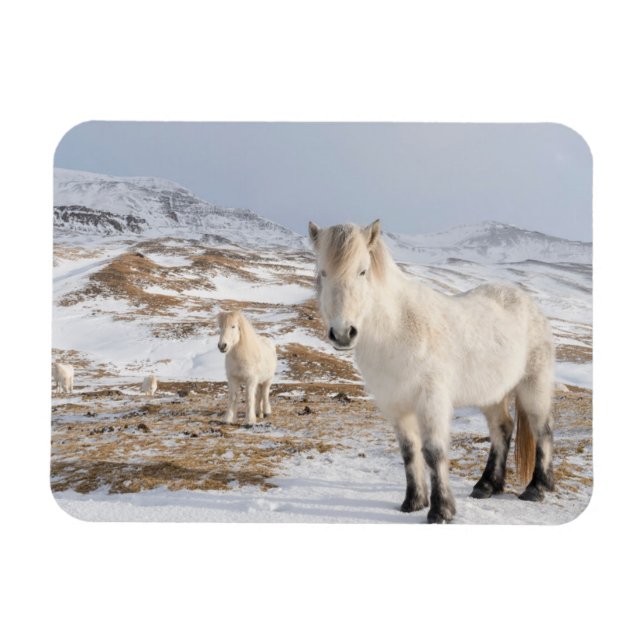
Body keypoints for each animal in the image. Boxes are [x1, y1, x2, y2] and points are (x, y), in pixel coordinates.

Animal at [308, 219, 555, 523]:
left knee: (542, 429)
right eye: (323, 272)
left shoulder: (431, 401)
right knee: (502, 429)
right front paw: (413, 502)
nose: (343, 334)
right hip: (492, 394)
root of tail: (527, 301)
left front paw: (441, 510)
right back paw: (487, 486)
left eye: (362, 271)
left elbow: (433, 453)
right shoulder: (396, 405)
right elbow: (409, 451)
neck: (398, 329)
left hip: (534, 385)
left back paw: (537, 487)